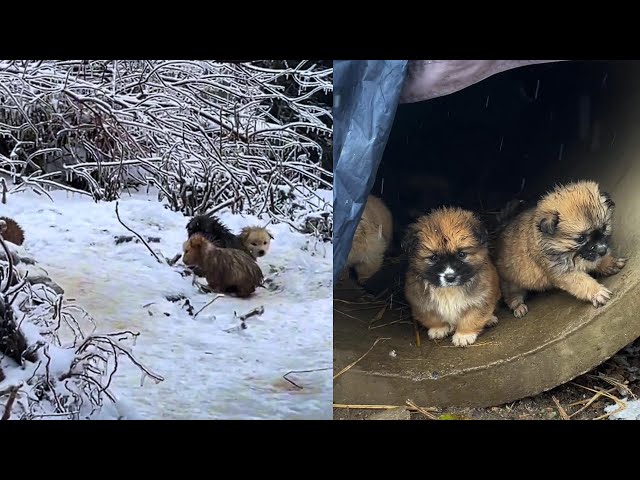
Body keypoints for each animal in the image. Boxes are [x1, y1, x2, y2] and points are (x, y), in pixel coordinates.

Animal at [404, 205, 500, 344]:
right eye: (433, 257)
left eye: (461, 254)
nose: (450, 277)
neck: (449, 290)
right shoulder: (420, 302)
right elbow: (432, 317)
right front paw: (438, 329)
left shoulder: (481, 299)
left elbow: (472, 317)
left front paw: (464, 335)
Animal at [496, 178, 624, 316]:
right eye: (580, 238)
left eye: (604, 228)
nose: (602, 250)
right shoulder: (563, 272)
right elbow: (582, 282)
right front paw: (597, 292)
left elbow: (598, 261)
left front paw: (610, 263)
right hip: (511, 284)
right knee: (512, 296)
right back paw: (518, 307)